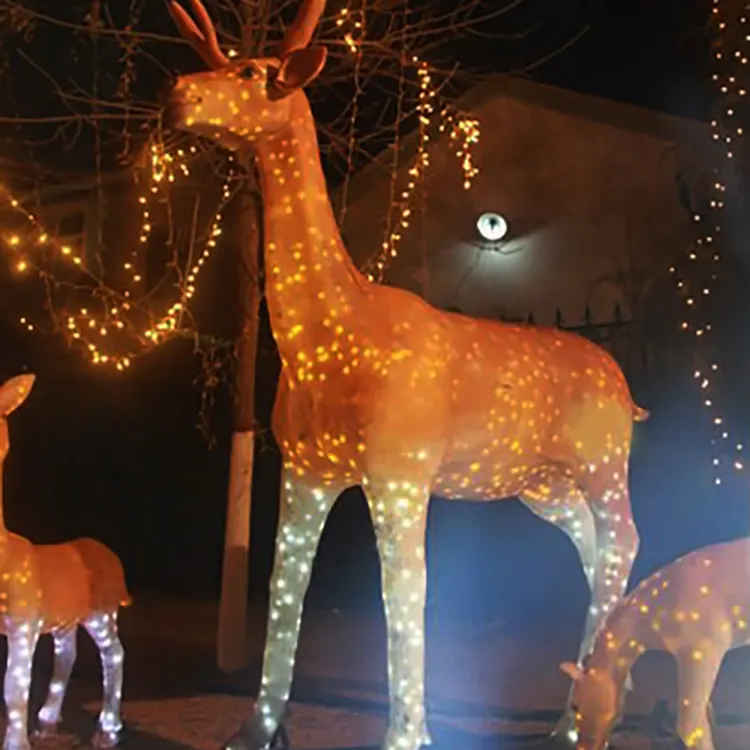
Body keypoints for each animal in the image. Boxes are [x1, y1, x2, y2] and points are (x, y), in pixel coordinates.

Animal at [0, 376, 131, 750]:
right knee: (67, 654)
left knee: (114, 654)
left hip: (102, 612)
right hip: (65, 618)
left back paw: (107, 730)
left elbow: (14, 689)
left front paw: (16, 745)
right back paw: (47, 721)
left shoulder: (24, 624)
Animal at [167, 2, 648, 748]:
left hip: (602, 461)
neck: (329, 337)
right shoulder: (306, 469)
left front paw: (407, 734)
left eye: (252, 72)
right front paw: (258, 728)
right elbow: (284, 584)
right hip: (542, 484)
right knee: (595, 549)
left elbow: (404, 589)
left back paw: (578, 721)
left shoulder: (401, 468)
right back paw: (591, 705)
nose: (178, 93)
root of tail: (627, 394)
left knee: (625, 537)